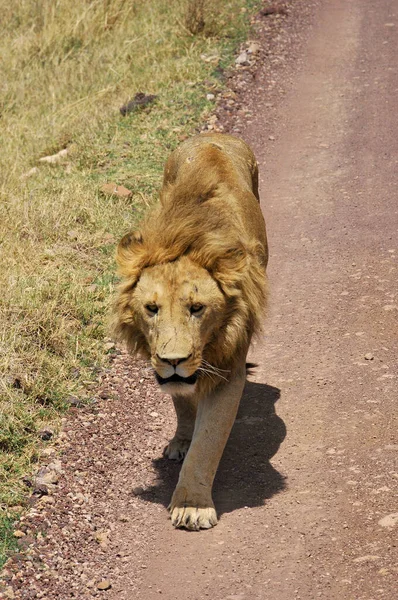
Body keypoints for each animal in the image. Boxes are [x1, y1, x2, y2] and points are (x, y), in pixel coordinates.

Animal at [113, 132, 268, 528]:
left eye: (197, 308)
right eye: (151, 308)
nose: (173, 360)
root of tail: (213, 135)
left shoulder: (229, 367)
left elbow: (209, 441)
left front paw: (192, 505)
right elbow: (183, 404)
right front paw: (184, 441)